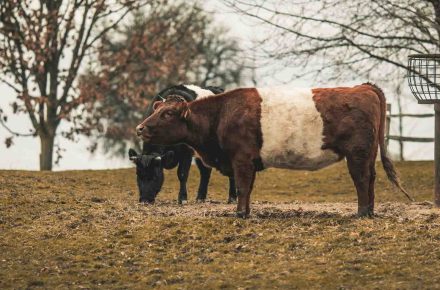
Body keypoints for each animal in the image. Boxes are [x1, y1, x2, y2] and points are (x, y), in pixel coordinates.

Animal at [137, 82, 412, 216]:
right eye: (157, 109)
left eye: (168, 113)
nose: (140, 128)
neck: (222, 113)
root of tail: (362, 87)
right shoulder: (247, 161)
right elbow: (247, 188)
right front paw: (245, 211)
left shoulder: (241, 159)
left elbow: (242, 186)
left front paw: (239, 214)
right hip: (367, 154)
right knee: (371, 179)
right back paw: (370, 211)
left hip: (357, 153)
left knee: (362, 180)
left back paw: (362, 213)